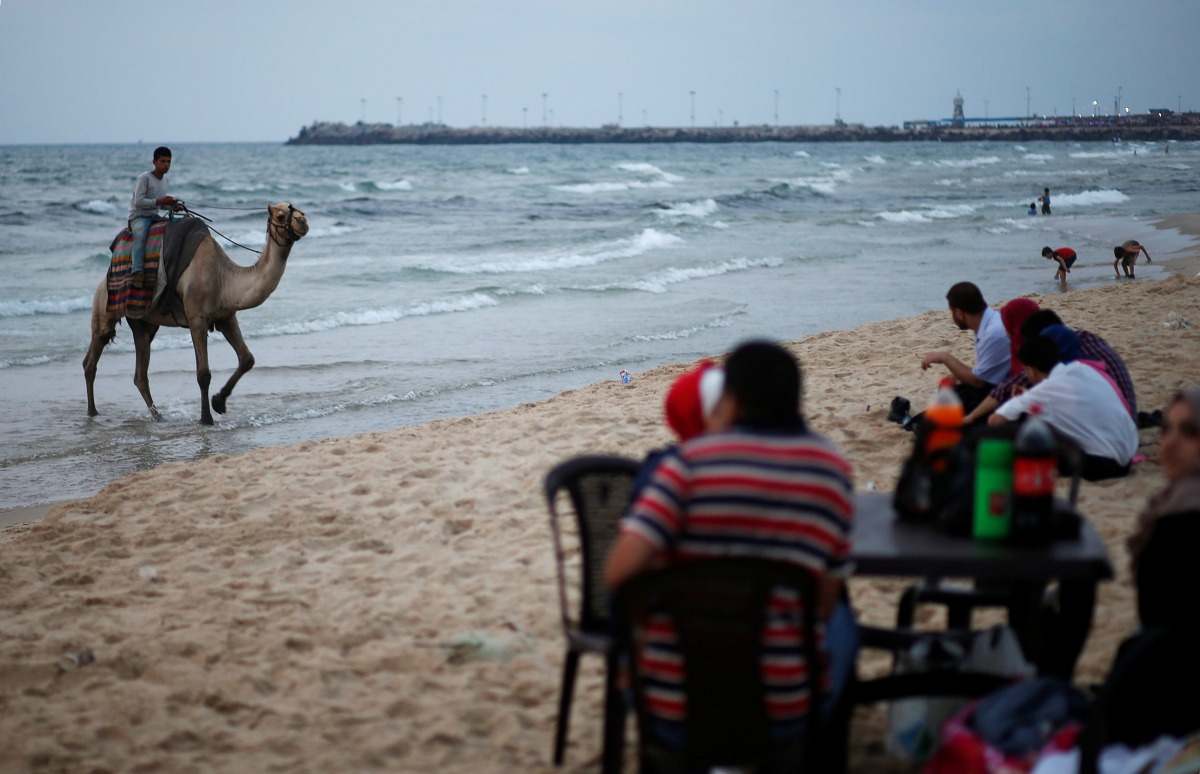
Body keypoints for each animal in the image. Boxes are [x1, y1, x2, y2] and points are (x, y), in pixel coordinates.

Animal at [84, 202, 309, 425]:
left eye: (299, 210)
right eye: (281, 216)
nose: (303, 222)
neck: (224, 278)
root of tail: (102, 282)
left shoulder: (226, 317)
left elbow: (247, 359)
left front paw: (219, 402)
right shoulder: (197, 319)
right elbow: (203, 374)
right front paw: (206, 418)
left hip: (143, 322)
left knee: (140, 370)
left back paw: (158, 417)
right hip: (105, 307)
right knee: (92, 360)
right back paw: (93, 412)